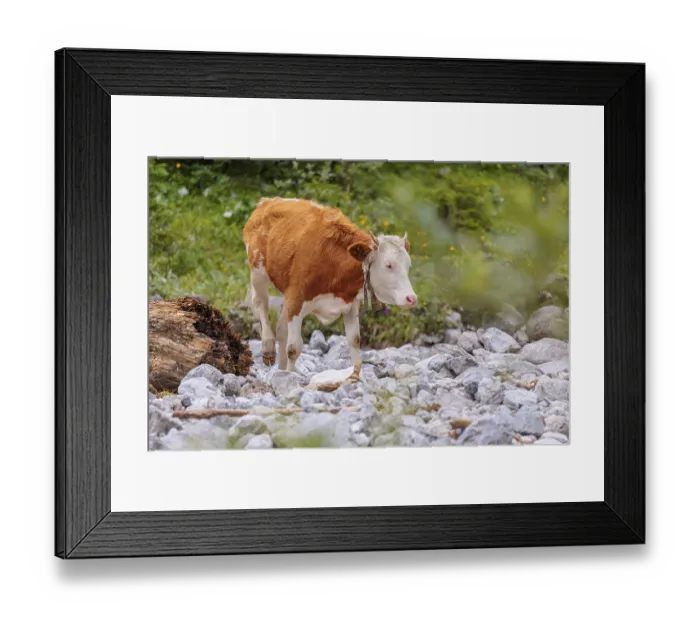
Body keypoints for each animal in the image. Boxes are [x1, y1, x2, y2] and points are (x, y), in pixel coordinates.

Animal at [242, 197, 418, 372]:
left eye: (408, 265)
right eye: (388, 265)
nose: (411, 298)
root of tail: (268, 201)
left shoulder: (349, 305)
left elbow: (354, 341)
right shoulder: (296, 298)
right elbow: (294, 348)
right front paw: (290, 375)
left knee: (281, 330)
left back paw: (280, 368)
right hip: (258, 272)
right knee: (262, 305)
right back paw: (268, 348)